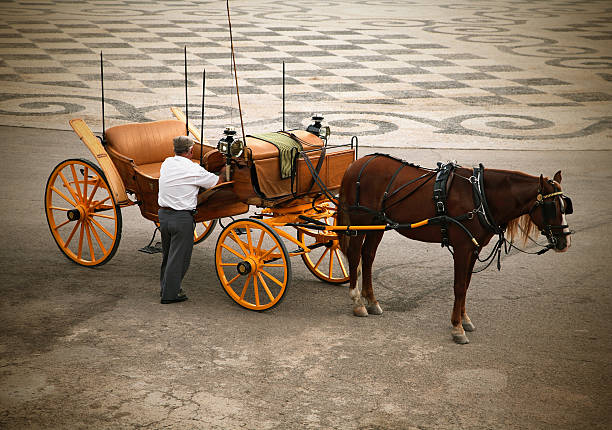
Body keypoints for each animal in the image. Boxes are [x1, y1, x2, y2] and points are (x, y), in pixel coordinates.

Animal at [338, 153, 572, 344]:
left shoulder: (474, 249)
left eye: (565, 206)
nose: (565, 242)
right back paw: (357, 301)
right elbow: (459, 286)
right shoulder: (462, 248)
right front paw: (457, 328)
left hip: (377, 224)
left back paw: (371, 300)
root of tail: (356, 165)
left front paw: (464, 319)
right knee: (355, 255)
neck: (480, 195)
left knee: (368, 256)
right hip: (359, 223)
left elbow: (466, 285)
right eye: (551, 208)